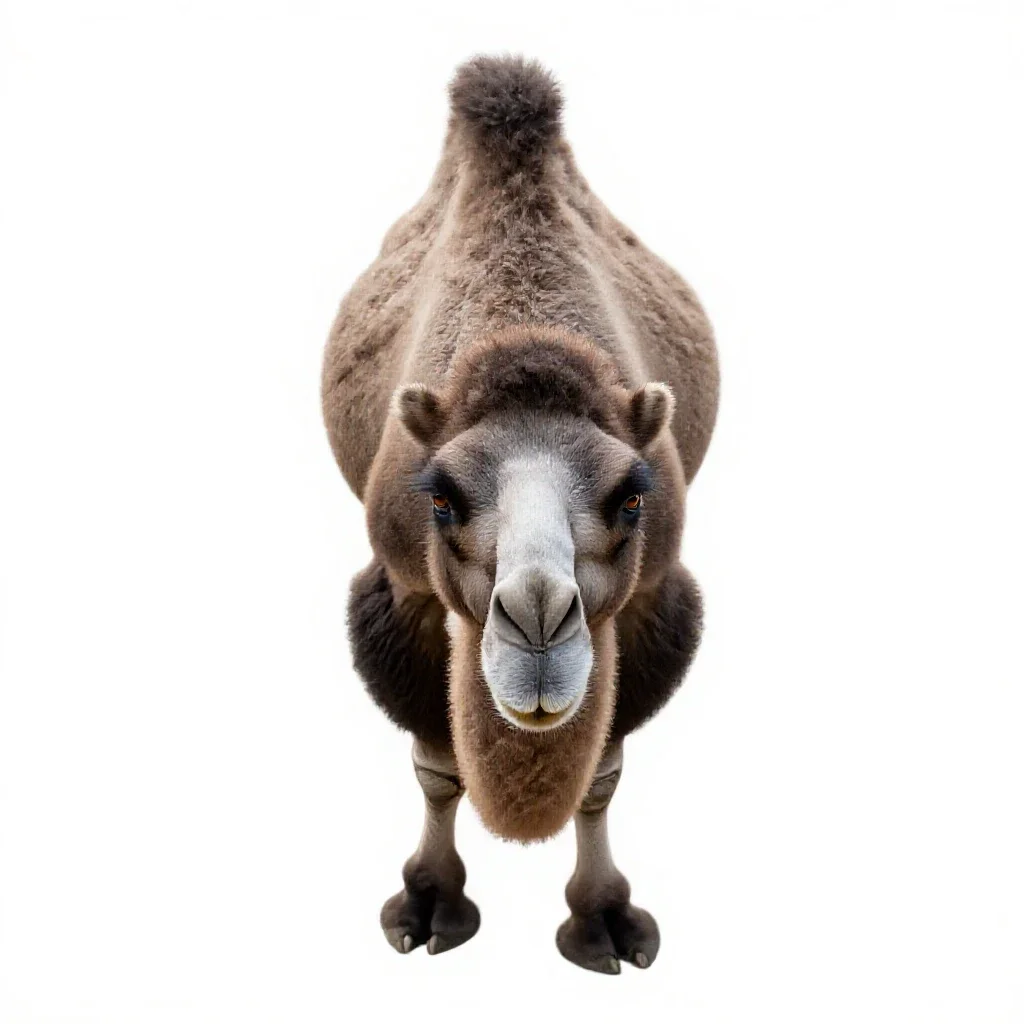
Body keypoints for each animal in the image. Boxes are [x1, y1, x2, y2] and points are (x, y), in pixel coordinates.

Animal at [321, 54, 719, 973]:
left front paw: (604, 920)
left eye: (632, 495)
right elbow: (437, 766)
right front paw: (428, 905)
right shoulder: (402, 592)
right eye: (438, 496)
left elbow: (601, 775)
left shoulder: (652, 603)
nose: (537, 620)